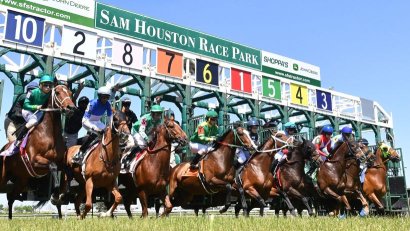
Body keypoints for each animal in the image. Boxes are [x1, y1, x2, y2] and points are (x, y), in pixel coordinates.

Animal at [0, 84, 75, 218]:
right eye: (57, 92)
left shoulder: (61, 162)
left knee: (11, 197)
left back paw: (10, 218)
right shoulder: (34, 161)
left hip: (22, 180)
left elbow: (67, 173)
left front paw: (60, 195)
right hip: (4, 176)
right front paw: (56, 195)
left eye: (70, 93)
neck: (49, 133)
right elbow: (53, 166)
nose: (71, 108)